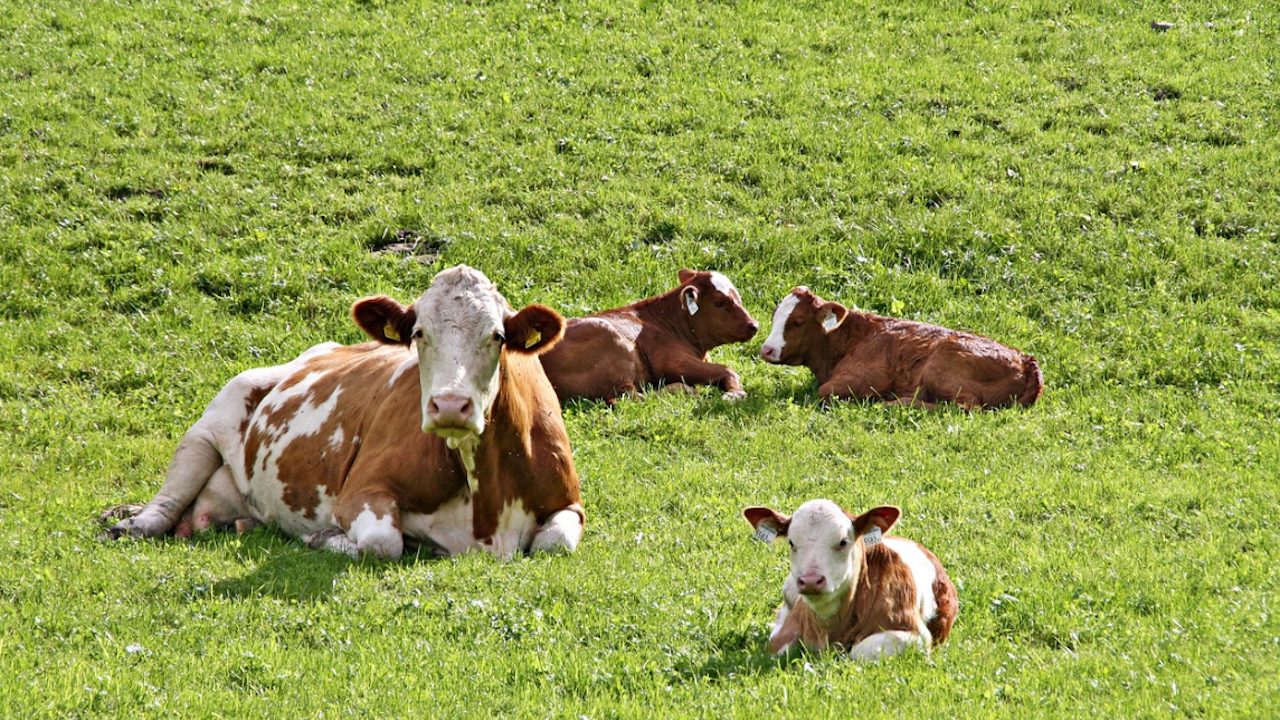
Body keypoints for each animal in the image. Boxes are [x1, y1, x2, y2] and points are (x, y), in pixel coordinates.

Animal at [104, 265, 586, 561]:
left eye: (498, 335)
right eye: (418, 333)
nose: (450, 405)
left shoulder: (570, 502)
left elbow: (555, 542)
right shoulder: (362, 489)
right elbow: (382, 542)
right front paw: (328, 537)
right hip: (214, 417)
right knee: (167, 500)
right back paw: (131, 523)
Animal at [535, 269, 752, 404]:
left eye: (739, 297)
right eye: (719, 302)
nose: (754, 325)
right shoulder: (672, 361)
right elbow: (728, 370)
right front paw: (734, 394)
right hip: (612, 343)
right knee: (631, 397)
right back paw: (683, 389)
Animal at [742, 499, 962, 661]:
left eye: (842, 542)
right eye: (791, 543)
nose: (811, 580)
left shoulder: (915, 634)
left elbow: (858, 651)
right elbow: (774, 646)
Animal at [757, 285, 1039, 409]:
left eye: (797, 321)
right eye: (774, 316)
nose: (766, 350)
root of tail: (1026, 360)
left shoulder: (866, 378)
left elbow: (825, 391)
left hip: (940, 365)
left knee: (965, 406)